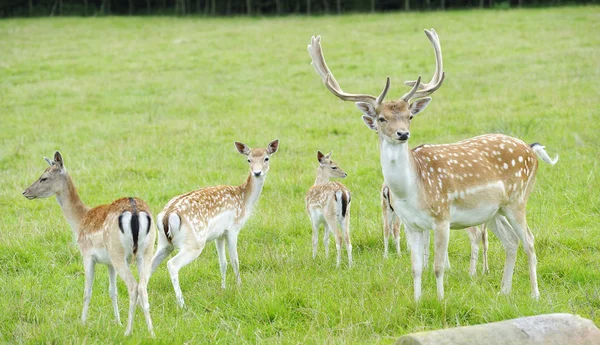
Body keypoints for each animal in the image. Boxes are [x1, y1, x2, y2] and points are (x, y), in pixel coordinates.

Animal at [22, 151, 156, 336]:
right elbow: (112, 291)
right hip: (147, 251)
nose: (25, 191)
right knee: (143, 286)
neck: (80, 221)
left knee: (133, 286)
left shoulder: (86, 254)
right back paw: (151, 332)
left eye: (44, 178)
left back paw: (128, 332)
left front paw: (83, 323)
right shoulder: (108, 263)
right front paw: (118, 322)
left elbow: (87, 290)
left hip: (118, 253)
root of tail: (135, 212)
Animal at [151, 138, 280, 306]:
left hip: (163, 243)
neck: (245, 200)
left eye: (266, 158)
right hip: (193, 243)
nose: (257, 172)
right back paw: (182, 304)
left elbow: (223, 262)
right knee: (172, 265)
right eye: (249, 159)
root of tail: (167, 216)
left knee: (148, 266)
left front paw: (223, 288)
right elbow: (235, 260)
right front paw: (239, 286)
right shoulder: (233, 229)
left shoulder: (219, 234)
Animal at [310, 28, 556, 298]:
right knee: (511, 241)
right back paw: (504, 292)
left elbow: (438, 267)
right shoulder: (411, 224)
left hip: (518, 199)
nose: (403, 134)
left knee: (529, 240)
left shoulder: (442, 217)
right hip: (494, 210)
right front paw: (418, 301)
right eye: (382, 118)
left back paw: (535, 294)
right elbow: (416, 268)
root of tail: (531, 151)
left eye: (409, 116)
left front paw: (440, 300)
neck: (412, 190)